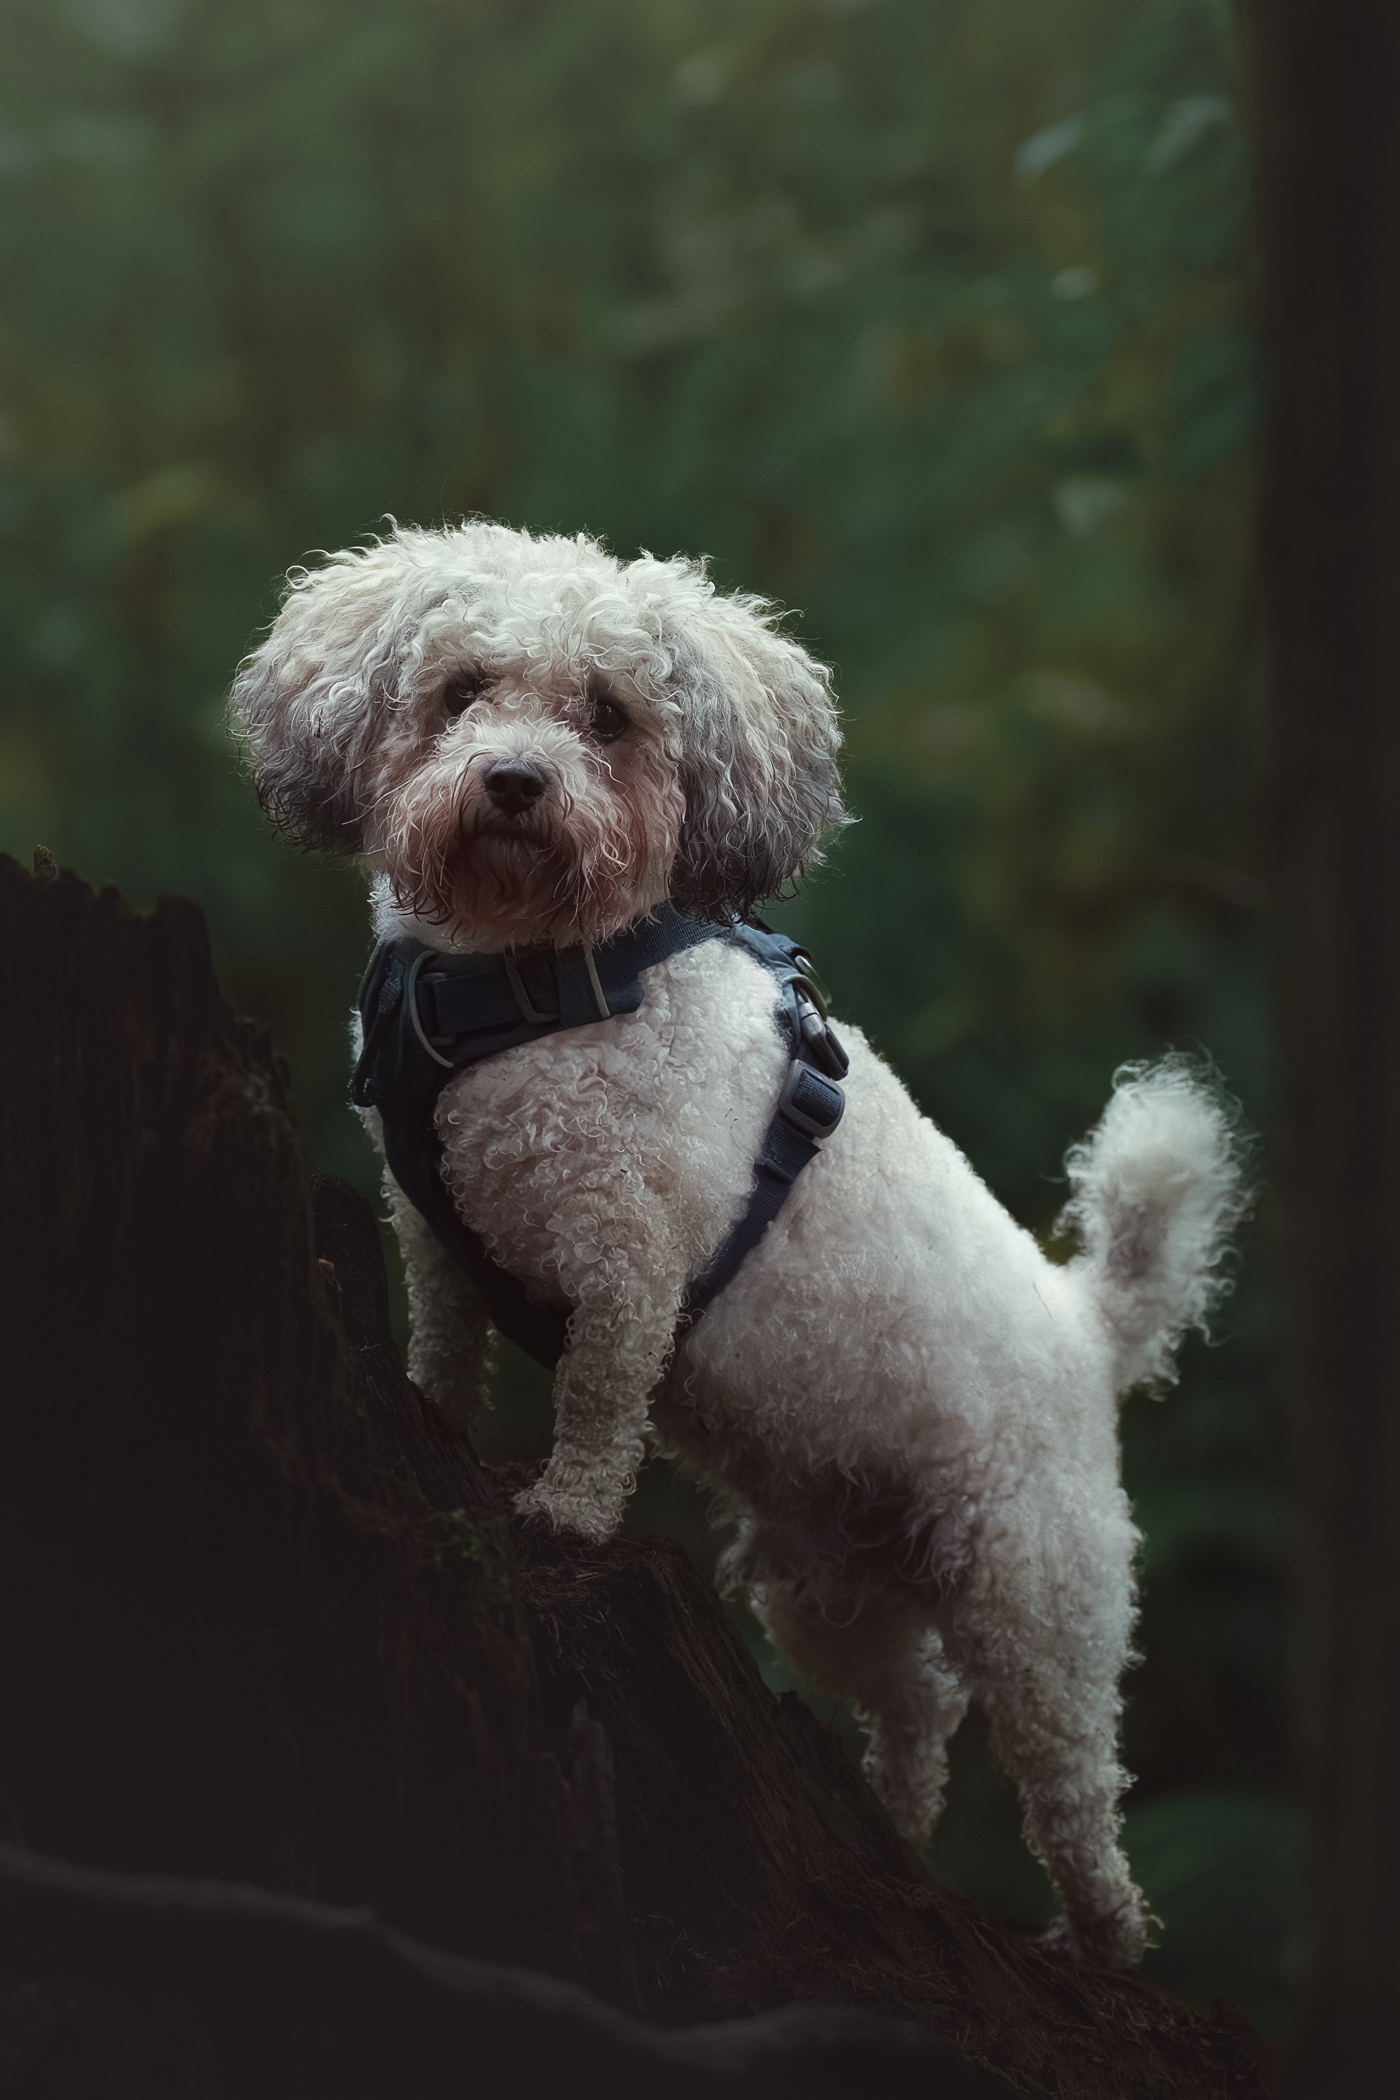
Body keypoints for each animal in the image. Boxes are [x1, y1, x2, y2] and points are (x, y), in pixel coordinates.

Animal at [229, 520, 1250, 1965]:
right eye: (463, 688)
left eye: (608, 714)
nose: (513, 782)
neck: (525, 980)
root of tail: (1082, 1322)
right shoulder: (435, 1228)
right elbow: (443, 1341)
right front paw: (424, 1411)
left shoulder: (625, 1260)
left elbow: (599, 1397)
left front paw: (566, 1511)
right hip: (827, 1590)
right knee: (917, 1715)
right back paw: (887, 1832)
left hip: (1037, 1604)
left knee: (1069, 1789)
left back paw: (1098, 1939)